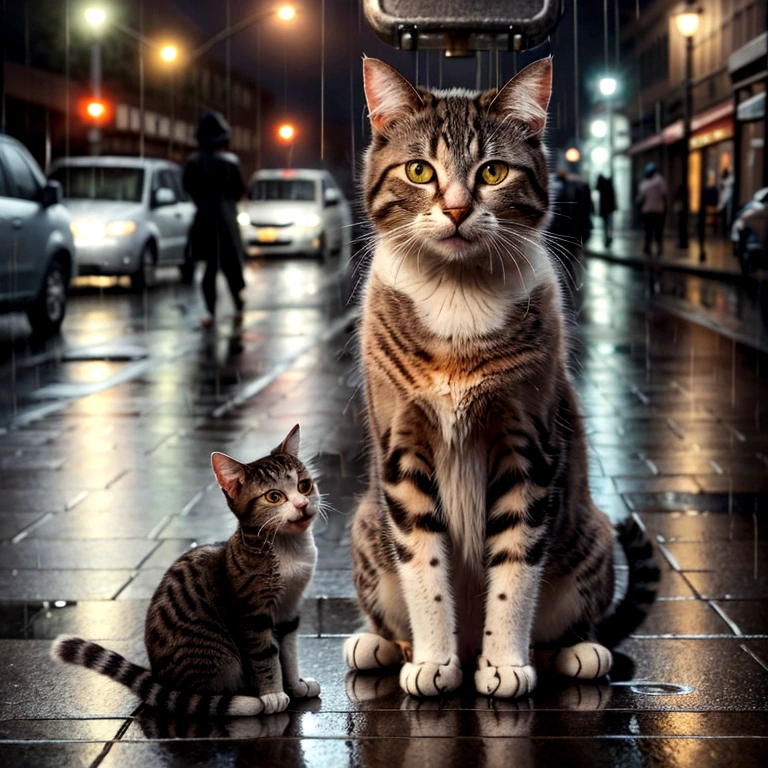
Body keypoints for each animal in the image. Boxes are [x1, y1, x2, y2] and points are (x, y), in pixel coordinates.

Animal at [51, 428, 320, 716]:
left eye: (304, 486)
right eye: (274, 496)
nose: (303, 504)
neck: (288, 549)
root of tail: (160, 680)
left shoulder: (291, 608)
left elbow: (289, 652)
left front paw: (295, 685)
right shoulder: (252, 613)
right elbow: (265, 655)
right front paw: (273, 693)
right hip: (216, 655)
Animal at [344, 57, 660, 700]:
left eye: (492, 171)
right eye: (419, 170)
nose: (457, 209)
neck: (457, 292)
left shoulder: (528, 446)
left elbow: (515, 570)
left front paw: (505, 665)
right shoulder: (402, 451)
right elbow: (424, 567)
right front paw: (434, 659)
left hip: (590, 531)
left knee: (573, 620)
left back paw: (574, 652)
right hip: (365, 523)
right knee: (387, 610)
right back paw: (382, 644)